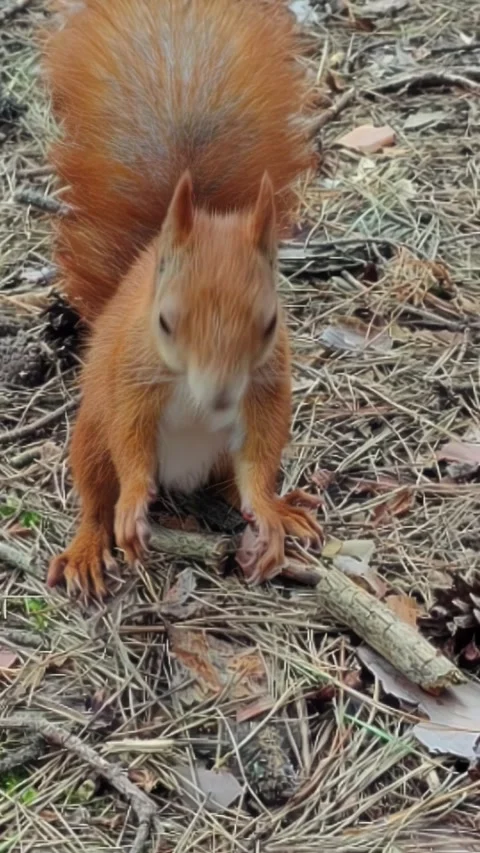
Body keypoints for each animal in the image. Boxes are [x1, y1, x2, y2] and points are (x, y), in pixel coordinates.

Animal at [44, 0, 323, 598]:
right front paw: (131, 506)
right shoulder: (130, 376)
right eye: (165, 323)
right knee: (95, 491)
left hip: (219, 458)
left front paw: (269, 516)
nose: (218, 398)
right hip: (90, 434)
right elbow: (130, 441)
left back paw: (281, 511)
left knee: (232, 484)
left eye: (270, 324)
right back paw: (88, 548)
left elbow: (261, 453)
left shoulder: (266, 388)